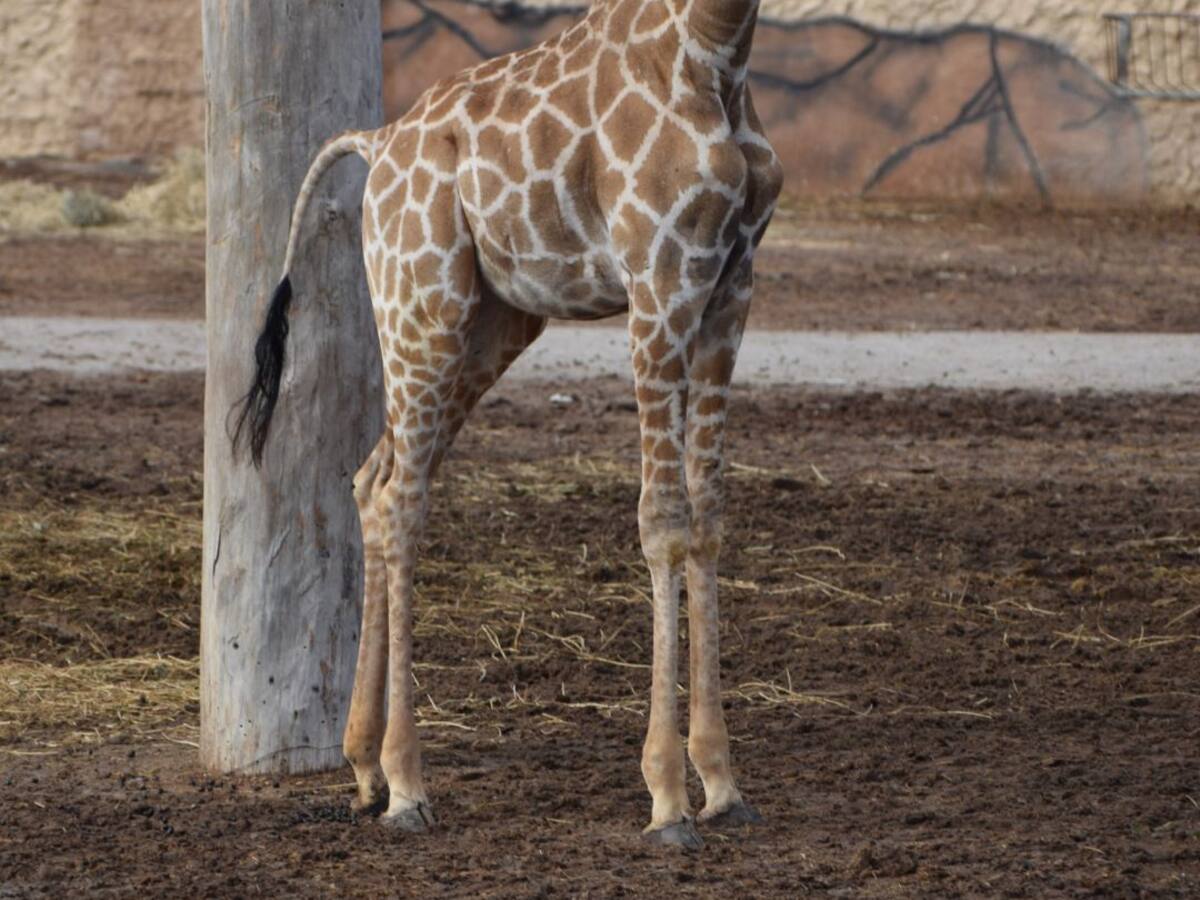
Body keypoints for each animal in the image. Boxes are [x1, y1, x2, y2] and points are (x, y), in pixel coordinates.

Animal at [233, 0, 782, 849]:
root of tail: (378, 145)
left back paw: (363, 769)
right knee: (402, 497)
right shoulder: (658, 279)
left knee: (372, 476)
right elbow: (663, 520)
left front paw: (722, 783)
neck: (716, 50)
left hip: (495, 319)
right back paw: (407, 785)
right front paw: (666, 799)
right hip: (423, 301)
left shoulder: (731, 284)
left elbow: (710, 519)